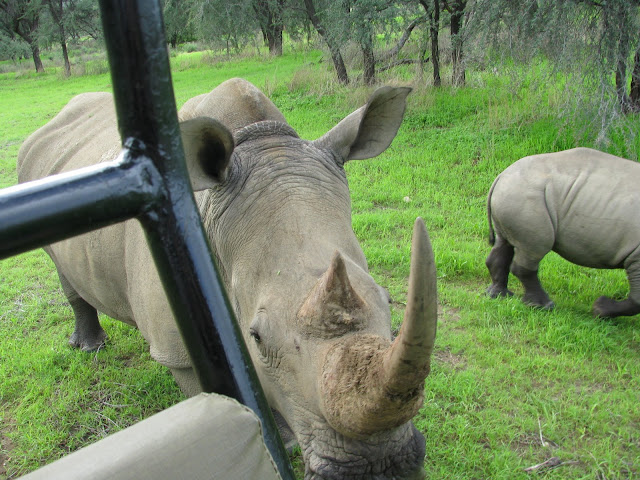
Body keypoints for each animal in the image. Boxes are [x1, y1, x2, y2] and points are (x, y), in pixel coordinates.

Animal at [17, 78, 437, 480]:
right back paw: (91, 348)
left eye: (388, 302)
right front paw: (277, 441)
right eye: (257, 336)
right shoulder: (179, 352)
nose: (381, 468)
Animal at [485, 147, 640, 318]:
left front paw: (600, 309)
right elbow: (637, 300)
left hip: (513, 195)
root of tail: (502, 175)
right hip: (525, 197)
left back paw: (499, 295)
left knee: (505, 242)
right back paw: (543, 306)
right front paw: (599, 310)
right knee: (533, 249)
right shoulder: (637, 255)